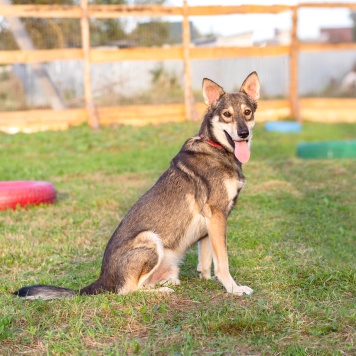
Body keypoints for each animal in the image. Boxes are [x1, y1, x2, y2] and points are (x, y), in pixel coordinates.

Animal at [13, 71, 260, 298]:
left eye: (247, 112)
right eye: (227, 114)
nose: (243, 133)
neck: (215, 147)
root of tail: (102, 280)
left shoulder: (211, 224)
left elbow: (207, 261)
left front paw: (209, 281)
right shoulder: (217, 216)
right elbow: (223, 262)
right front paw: (234, 288)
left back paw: (166, 283)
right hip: (150, 240)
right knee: (128, 290)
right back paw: (162, 291)